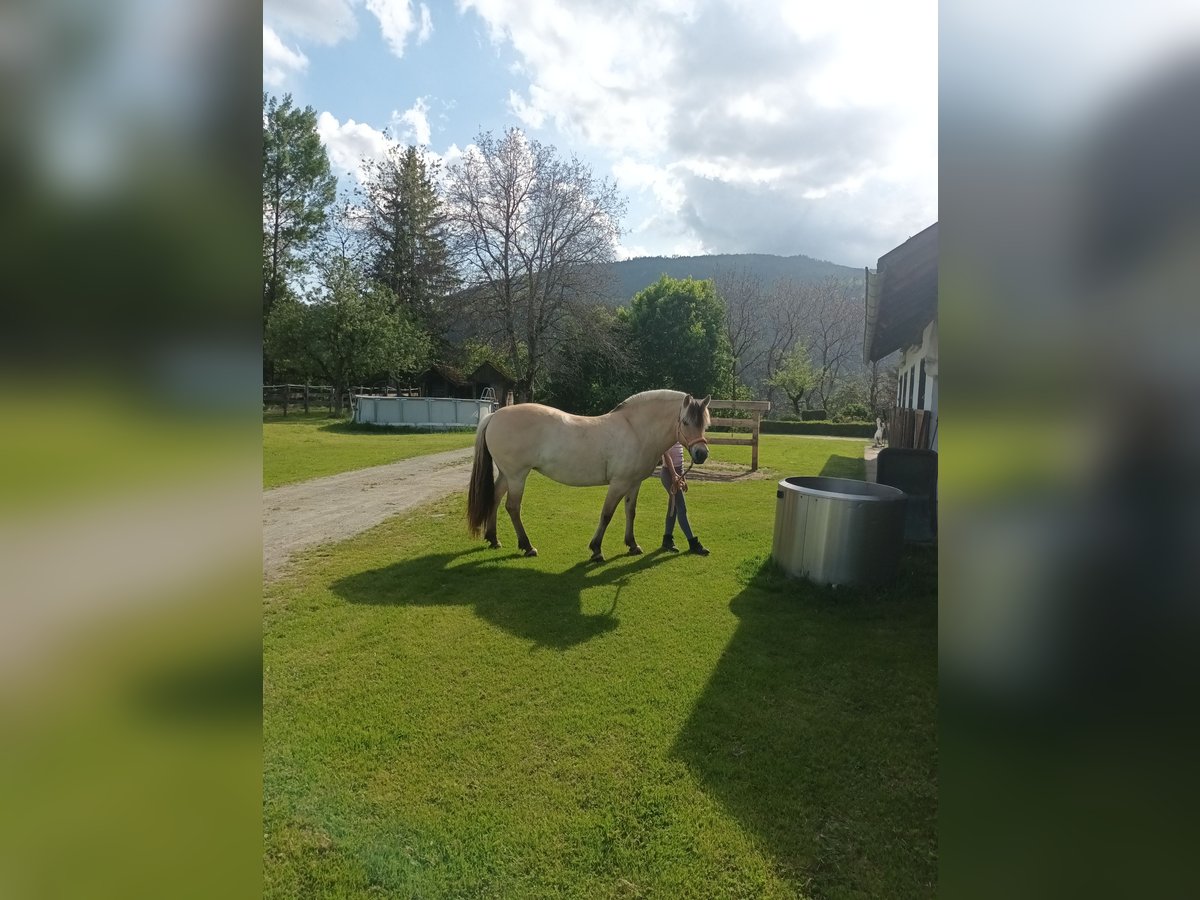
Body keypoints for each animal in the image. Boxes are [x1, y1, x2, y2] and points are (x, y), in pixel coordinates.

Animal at [466, 391, 711, 561]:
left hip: (507, 475)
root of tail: (495, 415)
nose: (701, 454)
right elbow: (607, 514)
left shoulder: (634, 484)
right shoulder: (619, 484)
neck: (635, 430)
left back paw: (493, 539)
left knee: (495, 498)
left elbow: (630, 512)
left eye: (705, 424)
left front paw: (632, 545)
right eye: (686, 422)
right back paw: (527, 546)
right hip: (517, 476)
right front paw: (596, 550)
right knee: (512, 507)